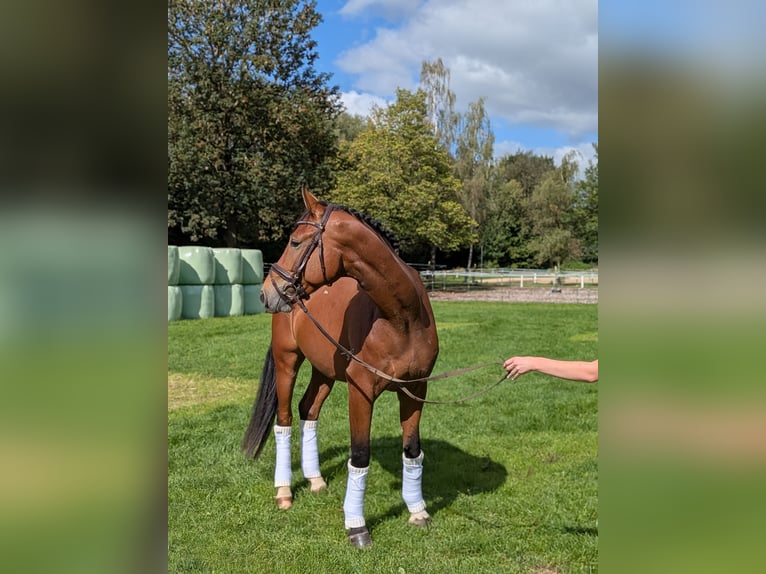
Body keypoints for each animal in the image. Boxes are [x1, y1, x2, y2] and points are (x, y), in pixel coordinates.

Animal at [242, 189, 439, 547]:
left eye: (295, 242)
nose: (266, 293)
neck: (401, 317)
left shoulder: (416, 389)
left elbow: (412, 449)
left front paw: (418, 511)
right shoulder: (361, 391)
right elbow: (359, 456)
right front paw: (356, 526)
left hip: (324, 372)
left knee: (308, 410)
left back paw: (316, 480)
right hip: (287, 362)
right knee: (285, 420)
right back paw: (284, 491)